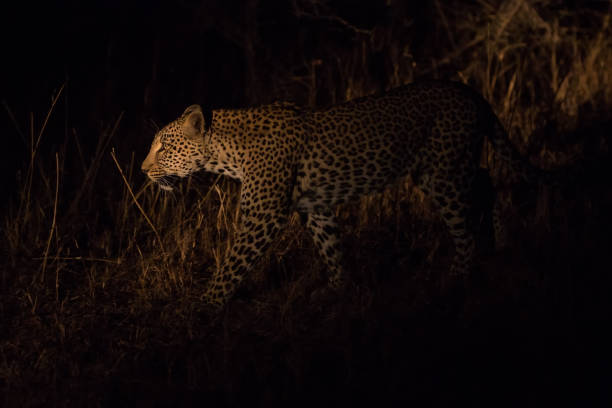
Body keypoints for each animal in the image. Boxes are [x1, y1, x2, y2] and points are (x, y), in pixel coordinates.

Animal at [142, 81, 544, 308]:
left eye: (163, 147)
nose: (144, 170)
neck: (225, 153)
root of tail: (468, 91)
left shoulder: (263, 215)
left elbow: (233, 263)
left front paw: (207, 304)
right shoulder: (315, 206)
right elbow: (330, 247)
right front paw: (338, 289)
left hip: (444, 172)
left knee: (465, 226)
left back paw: (458, 276)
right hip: (437, 171)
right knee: (486, 182)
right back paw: (502, 243)